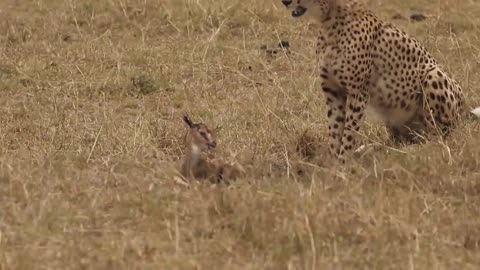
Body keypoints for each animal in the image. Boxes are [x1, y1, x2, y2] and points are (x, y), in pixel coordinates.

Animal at [282, 0, 480, 162]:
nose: (285, 1)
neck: (330, 21)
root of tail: (462, 111)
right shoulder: (333, 92)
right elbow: (335, 129)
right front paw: (332, 164)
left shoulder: (358, 93)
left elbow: (349, 131)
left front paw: (343, 163)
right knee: (397, 142)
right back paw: (373, 150)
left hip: (432, 75)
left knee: (435, 141)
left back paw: (409, 152)